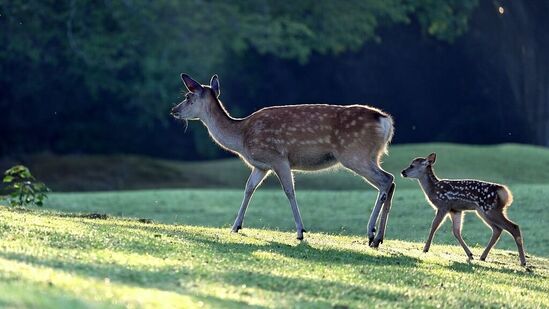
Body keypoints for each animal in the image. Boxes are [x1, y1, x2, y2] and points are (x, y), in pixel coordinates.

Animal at [171, 73, 394, 245]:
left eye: (188, 96)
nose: (173, 110)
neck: (242, 137)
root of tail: (385, 121)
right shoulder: (261, 166)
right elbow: (248, 188)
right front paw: (235, 226)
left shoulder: (278, 158)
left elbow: (289, 191)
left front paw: (300, 232)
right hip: (371, 155)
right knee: (390, 180)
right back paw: (379, 238)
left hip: (354, 154)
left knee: (386, 180)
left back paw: (371, 233)